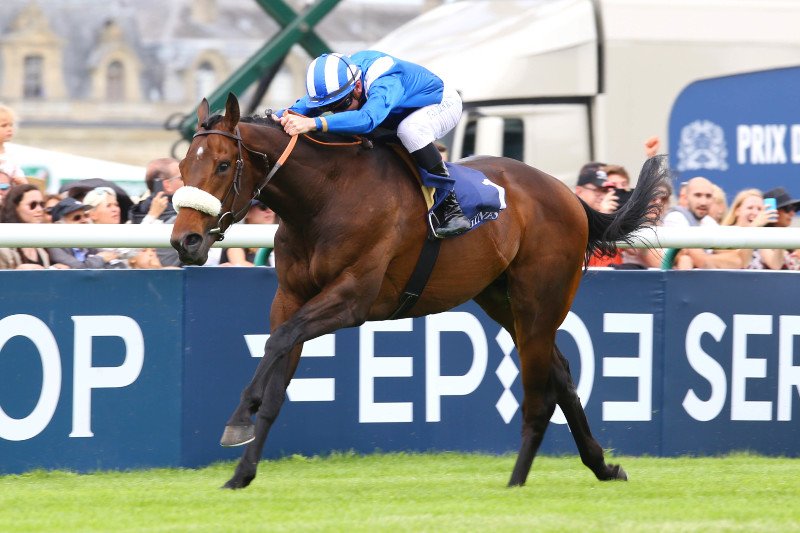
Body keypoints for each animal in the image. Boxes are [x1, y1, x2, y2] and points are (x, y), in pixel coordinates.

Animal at [171, 93, 665, 490]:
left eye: (222, 164)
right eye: (181, 165)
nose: (184, 241)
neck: (325, 197)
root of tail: (568, 195)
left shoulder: (352, 298)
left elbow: (278, 340)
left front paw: (238, 421)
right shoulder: (290, 298)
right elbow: (276, 372)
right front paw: (241, 472)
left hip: (540, 300)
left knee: (539, 393)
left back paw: (517, 481)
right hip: (501, 299)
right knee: (561, 375)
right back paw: (602, 466)